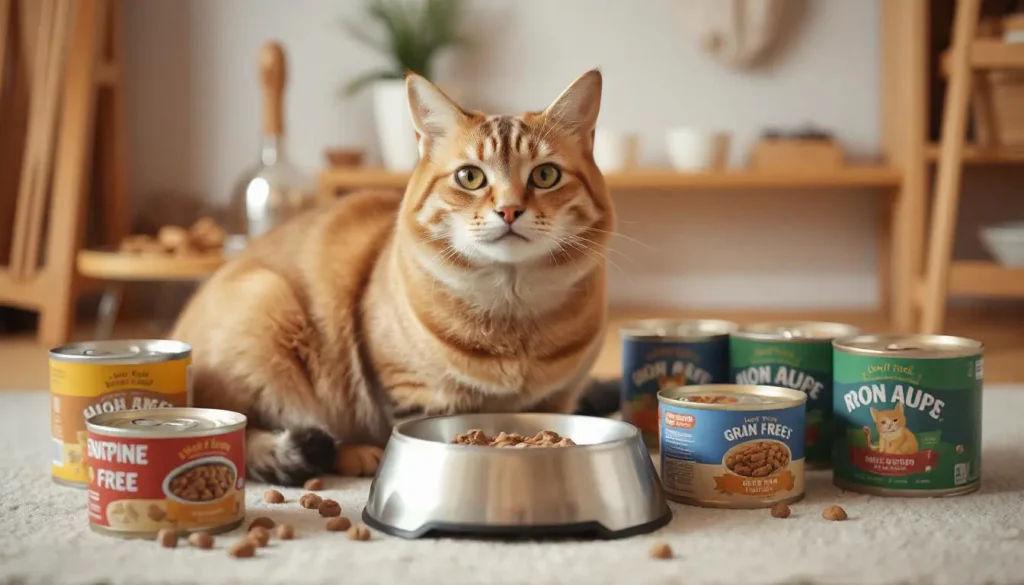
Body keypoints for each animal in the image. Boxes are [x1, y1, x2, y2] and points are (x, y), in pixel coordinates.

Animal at [171, 69, 610, 485]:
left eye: (546, 175)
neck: (511, 313)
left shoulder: (558, 398)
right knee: (254, 429)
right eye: (470, 177)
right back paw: (359, 455)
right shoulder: (412, 390)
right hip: (267, 310)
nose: (509, 210)